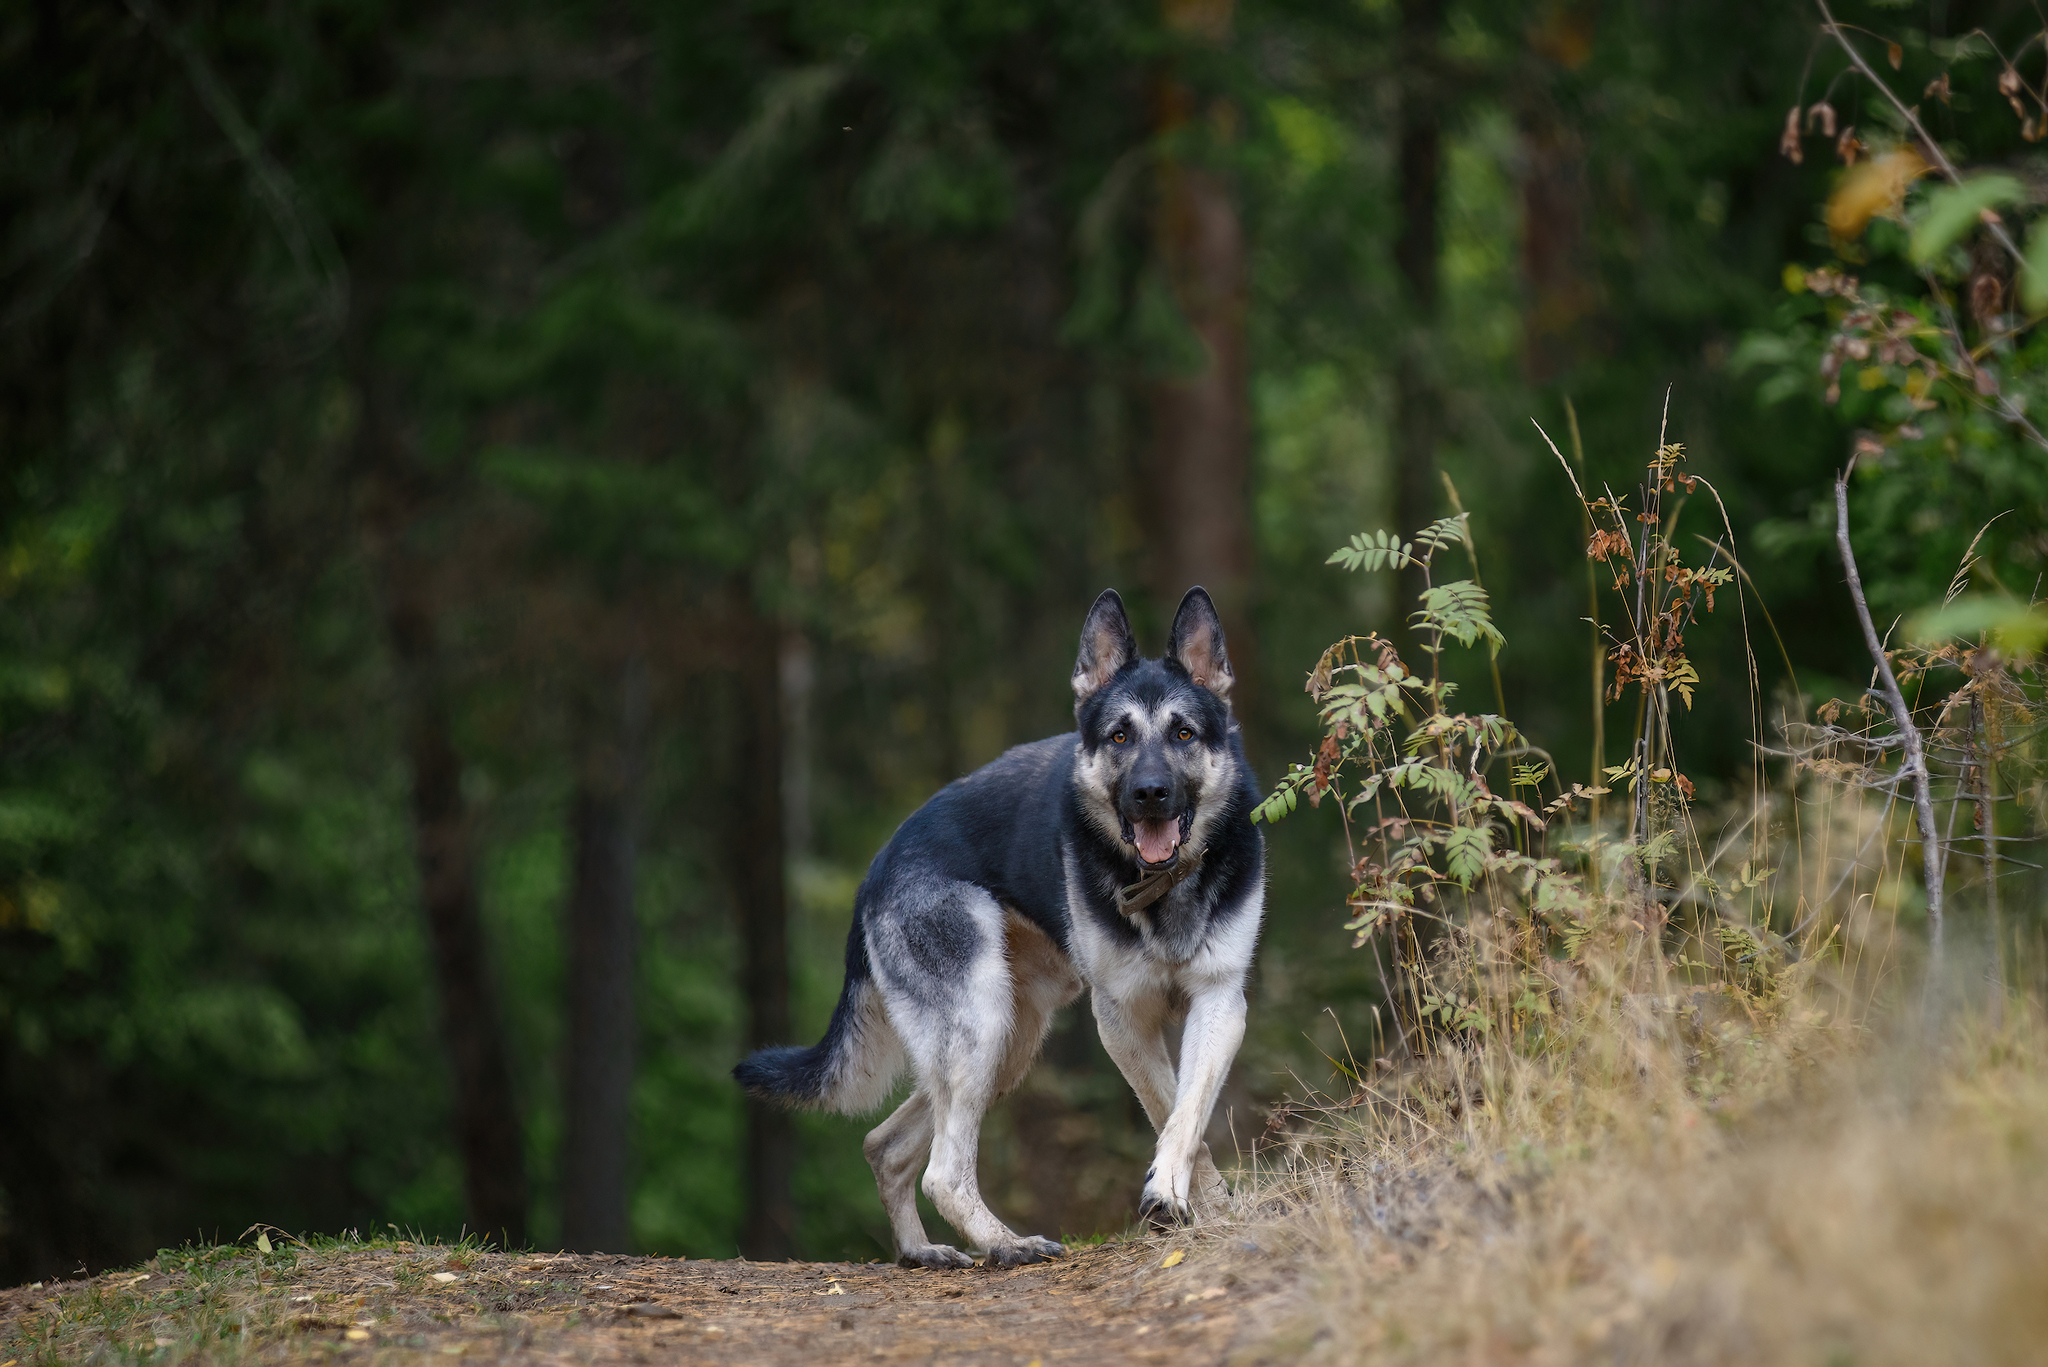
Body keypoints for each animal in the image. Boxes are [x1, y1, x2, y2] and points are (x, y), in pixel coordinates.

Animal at [729, 590, 1253, 1270]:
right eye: (1119, 736)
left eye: (1184, 733)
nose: (1149, 794)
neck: (1162, 889)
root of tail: (876, 871)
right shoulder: (1122, 1020)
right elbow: (1168, 1105)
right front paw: (1181, 1200)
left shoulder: (1220, 1003)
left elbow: (1188, 1114)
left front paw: (1195, 1199)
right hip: (980, 1024)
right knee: (942, 1173)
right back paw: (1007, 1243)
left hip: (1006, 1038)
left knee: (886, 1146)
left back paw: (921, 1251)